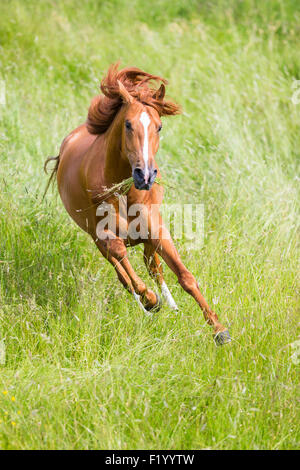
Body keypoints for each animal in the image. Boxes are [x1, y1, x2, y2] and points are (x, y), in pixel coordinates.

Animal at [45, 63, 231, 346]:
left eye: (159, 126)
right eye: (128, 124)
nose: (145, 176)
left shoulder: (156, 229)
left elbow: (185, 276)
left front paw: (220, 331)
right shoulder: (104, 234)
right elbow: (125, 265)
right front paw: (150, 300)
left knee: (153, 267)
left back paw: (172, 306)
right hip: (96, 238)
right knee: (123, 271)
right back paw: (149, 304)